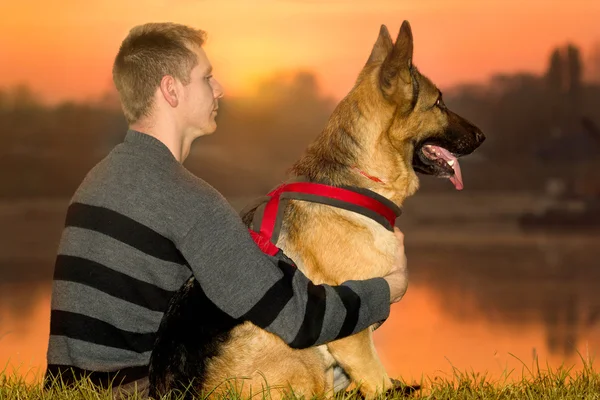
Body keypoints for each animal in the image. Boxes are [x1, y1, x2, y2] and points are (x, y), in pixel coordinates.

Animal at [148, 20, 486, 398]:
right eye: (439, 102)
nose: (483, 136)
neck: (358, 181)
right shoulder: (352, 332)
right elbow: (378, 381)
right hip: (305, 355)